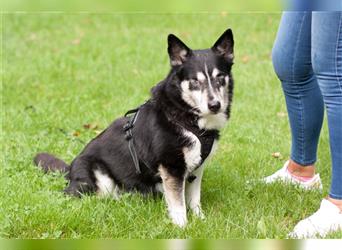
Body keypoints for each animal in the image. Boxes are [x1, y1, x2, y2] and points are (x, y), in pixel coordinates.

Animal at [34, 28, 235, 227]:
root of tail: (69, 170)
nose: (215, 105)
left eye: (220, 77)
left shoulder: (196, 170)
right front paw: (182, 227)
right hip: (97, 181)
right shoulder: (172, 168)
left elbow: (194, 199)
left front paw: (201, 220)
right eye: (194, 81)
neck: (185, 115)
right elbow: (178, 205)